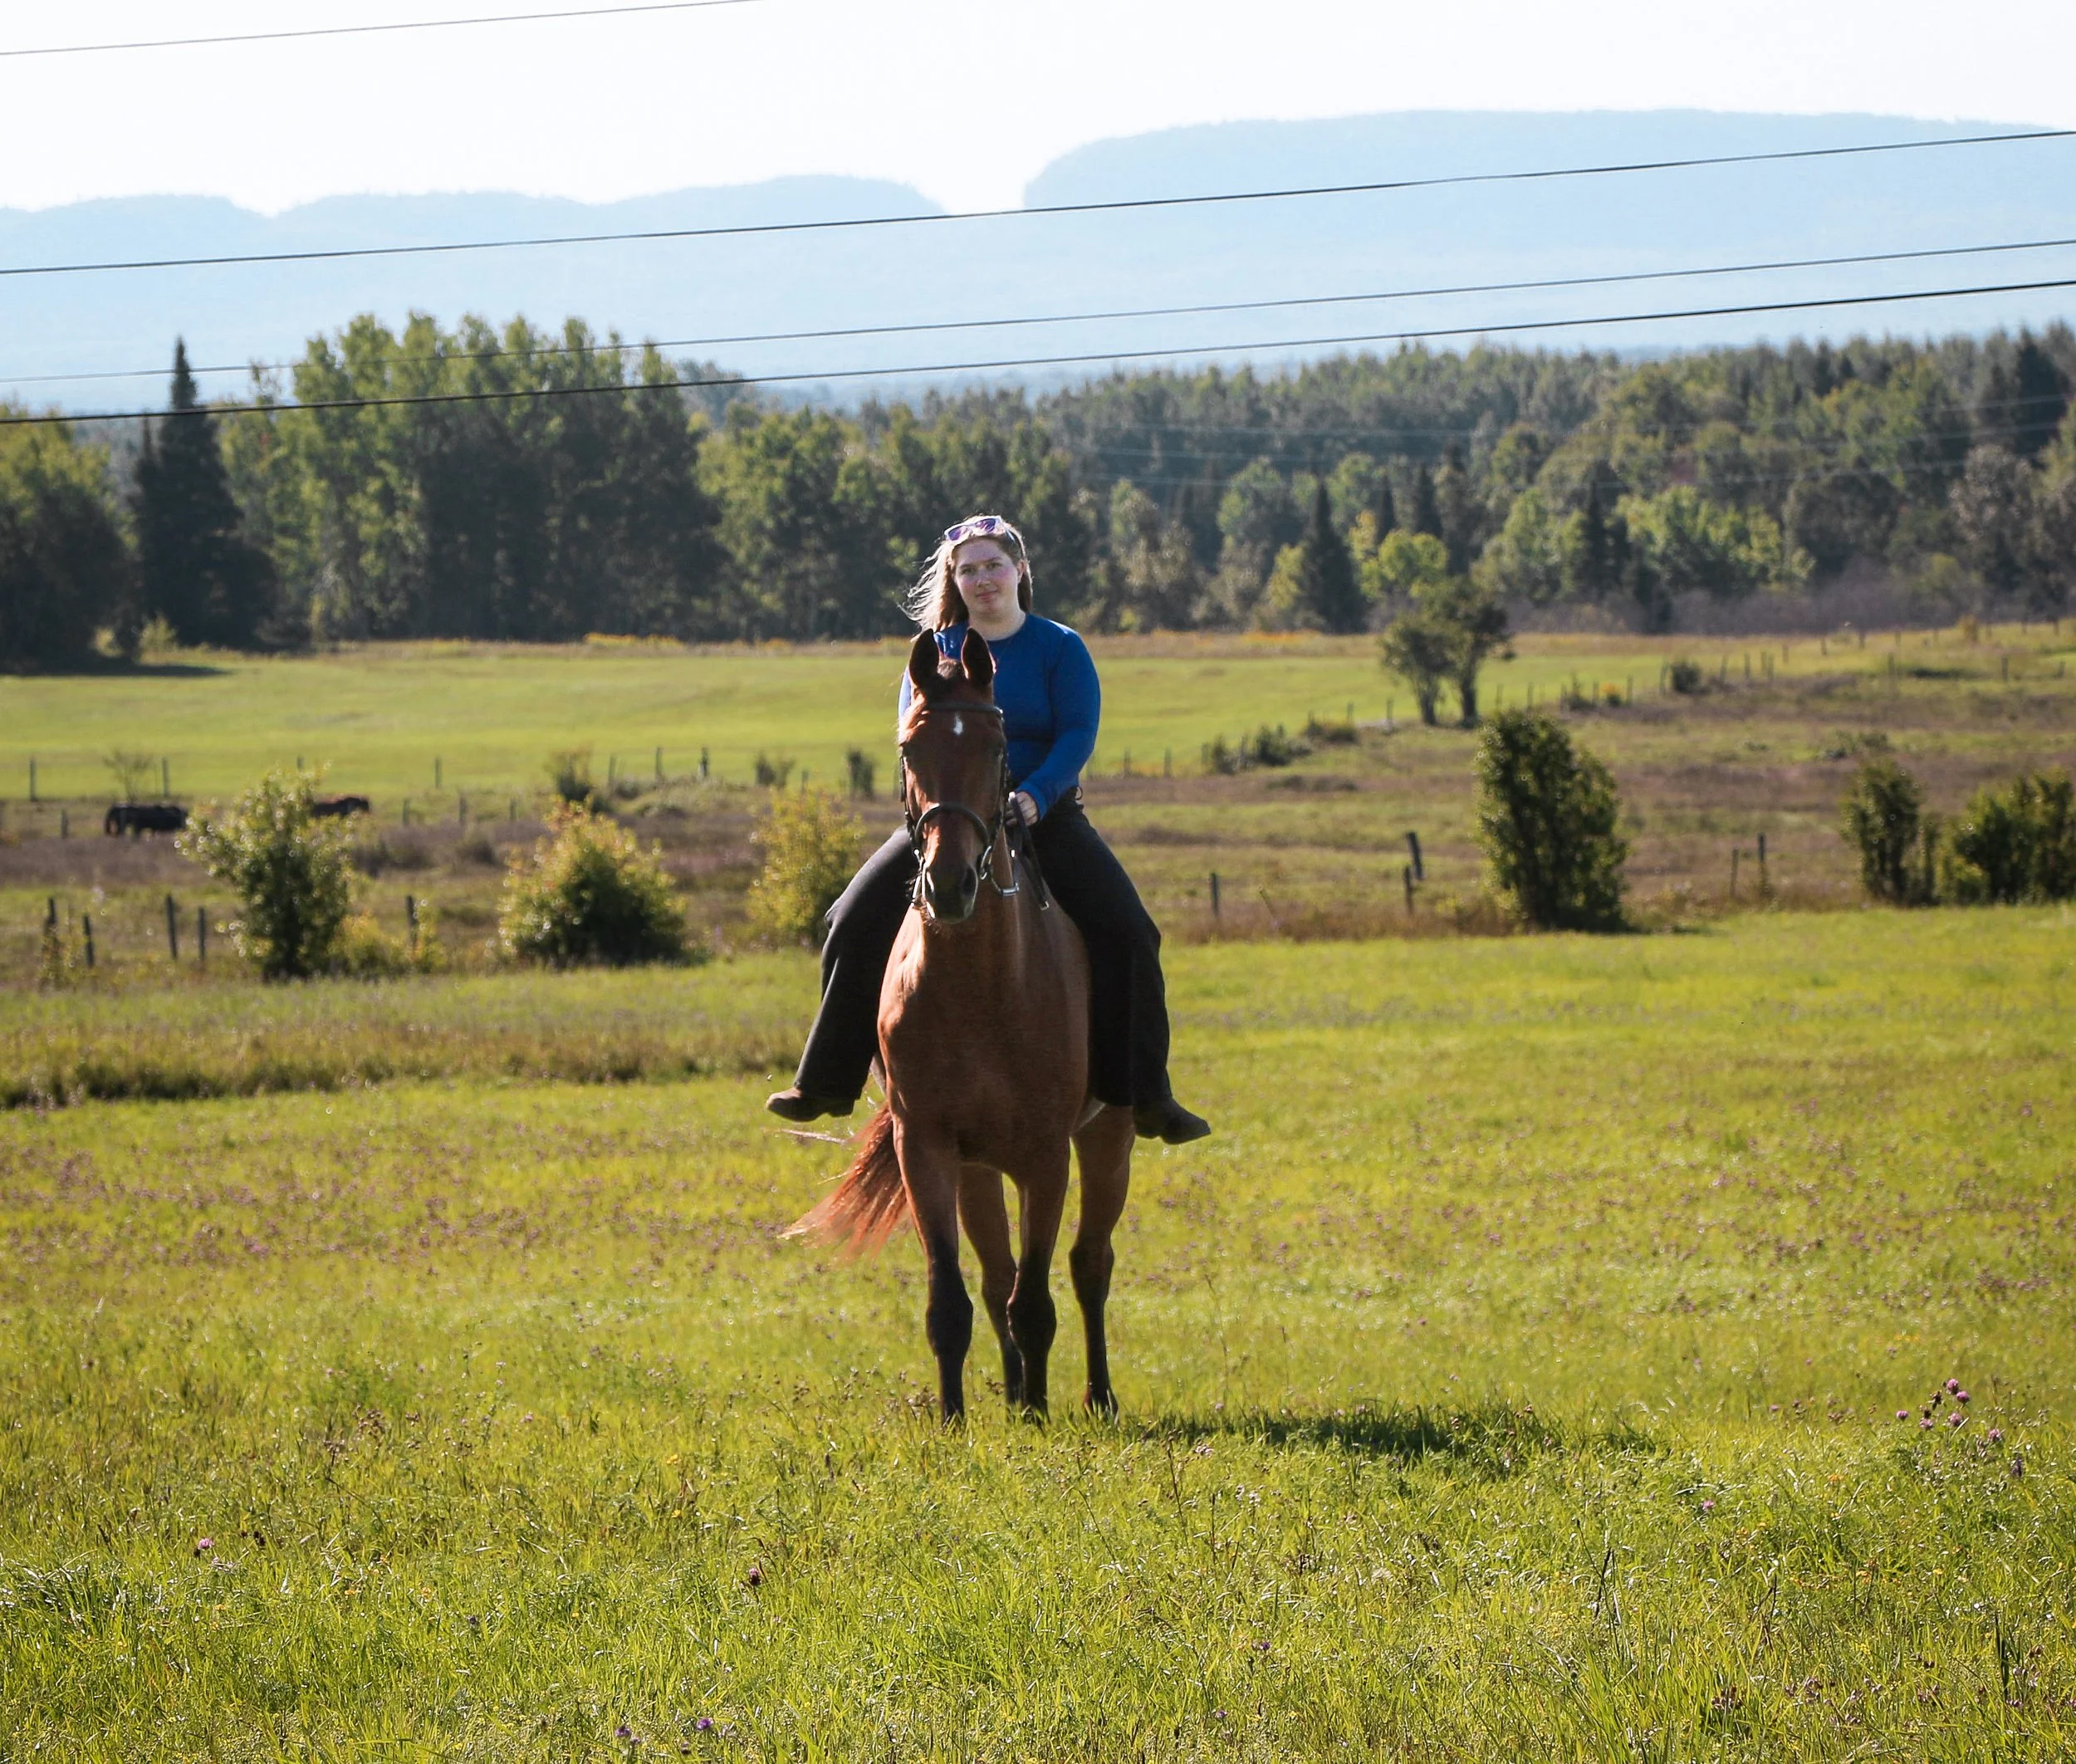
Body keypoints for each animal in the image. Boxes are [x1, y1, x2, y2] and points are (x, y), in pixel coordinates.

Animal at [786, 628, 1137, 1422]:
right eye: (911, 747)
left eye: (995, 742)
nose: (949, 884)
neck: (981, 987)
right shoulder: (929, 1147)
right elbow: (954, 1297)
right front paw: (956, 1419)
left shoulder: (1047, 1153)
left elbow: (1038, 1296)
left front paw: (1039, 1417)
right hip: (979, 1168)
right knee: (997, 1272)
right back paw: (1014, 1394)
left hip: (1109, 1137)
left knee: (1088, 1265)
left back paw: (1095, 1397)